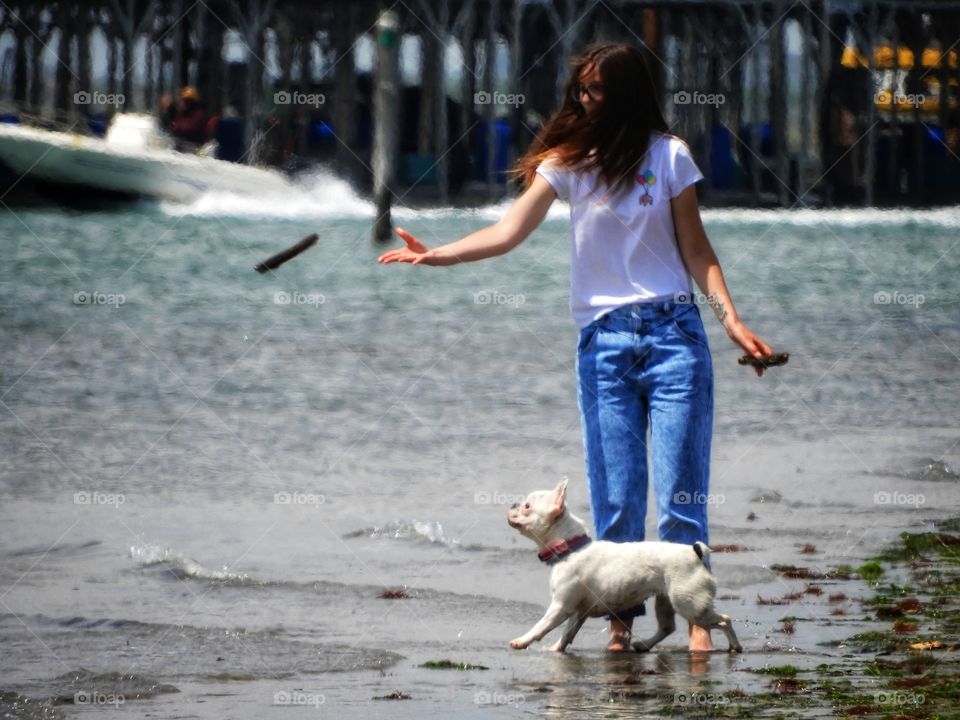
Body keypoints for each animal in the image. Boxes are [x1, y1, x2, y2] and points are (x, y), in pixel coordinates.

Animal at [506, 478, 748, 652]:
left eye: (527, 506)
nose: (513, 504)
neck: (571, 547)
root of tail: (695, 552)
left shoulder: (560, 607)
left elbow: (541, 626)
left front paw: (522, 640)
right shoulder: (578, 612)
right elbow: (568, 633)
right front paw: (557, 649)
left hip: (689, 604)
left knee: (723, 621)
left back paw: (734, 646)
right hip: (666, 600)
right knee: (668, 627)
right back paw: (645, 644)